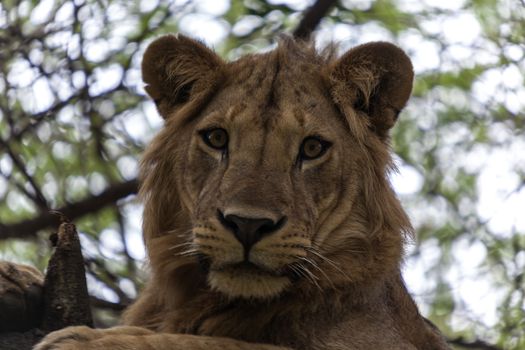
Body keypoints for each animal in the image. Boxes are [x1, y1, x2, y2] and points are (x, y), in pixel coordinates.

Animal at [3, 34, 450, 348]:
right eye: (217, 138)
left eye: (312, 148)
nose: (248, 225)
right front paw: (14, 280)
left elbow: (218, 344)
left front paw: (90, 341)